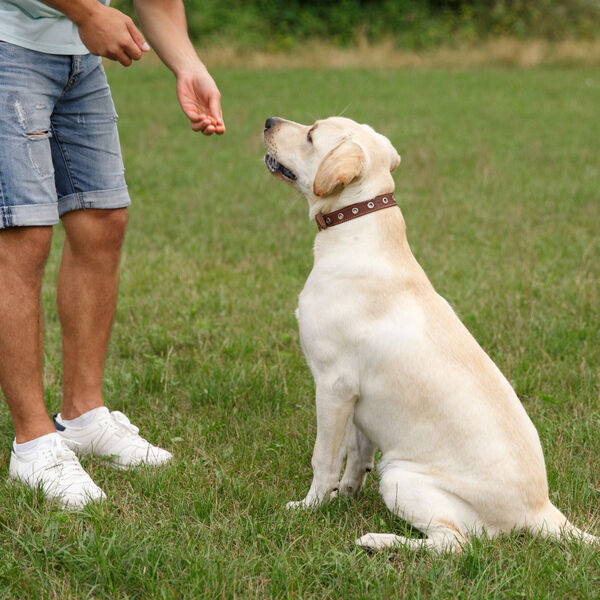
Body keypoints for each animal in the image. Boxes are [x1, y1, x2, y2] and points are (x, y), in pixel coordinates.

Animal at [264, 115, 596, 552]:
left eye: (311, 134)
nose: (268, 121)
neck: (359, 228)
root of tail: (541, 510)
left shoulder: (333, 386)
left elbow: (324, 459)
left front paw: (309, 507)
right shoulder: (358, 400)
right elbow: (356, 455)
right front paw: (344, 495)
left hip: (400, 476)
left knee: (452, 543)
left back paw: (377, 540)